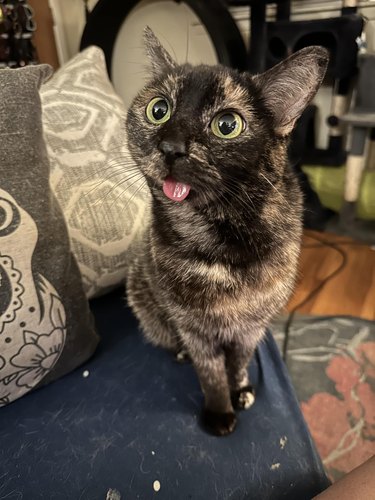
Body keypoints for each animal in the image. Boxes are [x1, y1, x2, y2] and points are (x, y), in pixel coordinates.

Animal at [127, 27, 328, 436]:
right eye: (158, 109)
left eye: (227, 125)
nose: (171, 146)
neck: (222, 242)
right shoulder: (194, 328)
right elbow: (211, 374)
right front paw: (220, 412)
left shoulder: (251, 327)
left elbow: (237, 362)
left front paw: (240, 390)